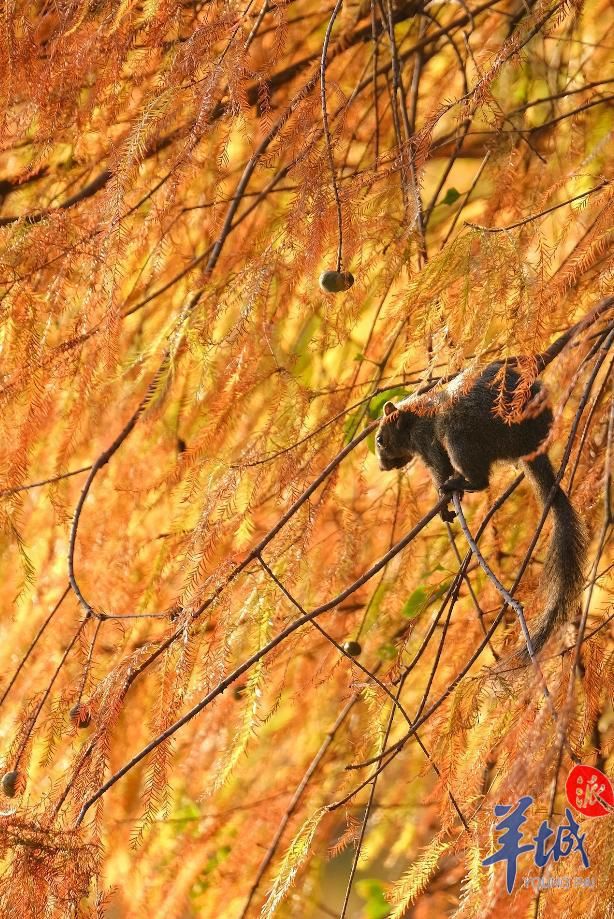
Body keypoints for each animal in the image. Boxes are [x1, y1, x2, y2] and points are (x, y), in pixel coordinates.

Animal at [378, 298, 612, 656]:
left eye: (380, 440)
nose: (380, 465)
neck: (415, 415)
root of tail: (531, 440)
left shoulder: (429, 441)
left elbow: (439, 467)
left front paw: (444, 499)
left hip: (461, 431)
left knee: (479, 478)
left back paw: (462, 483)